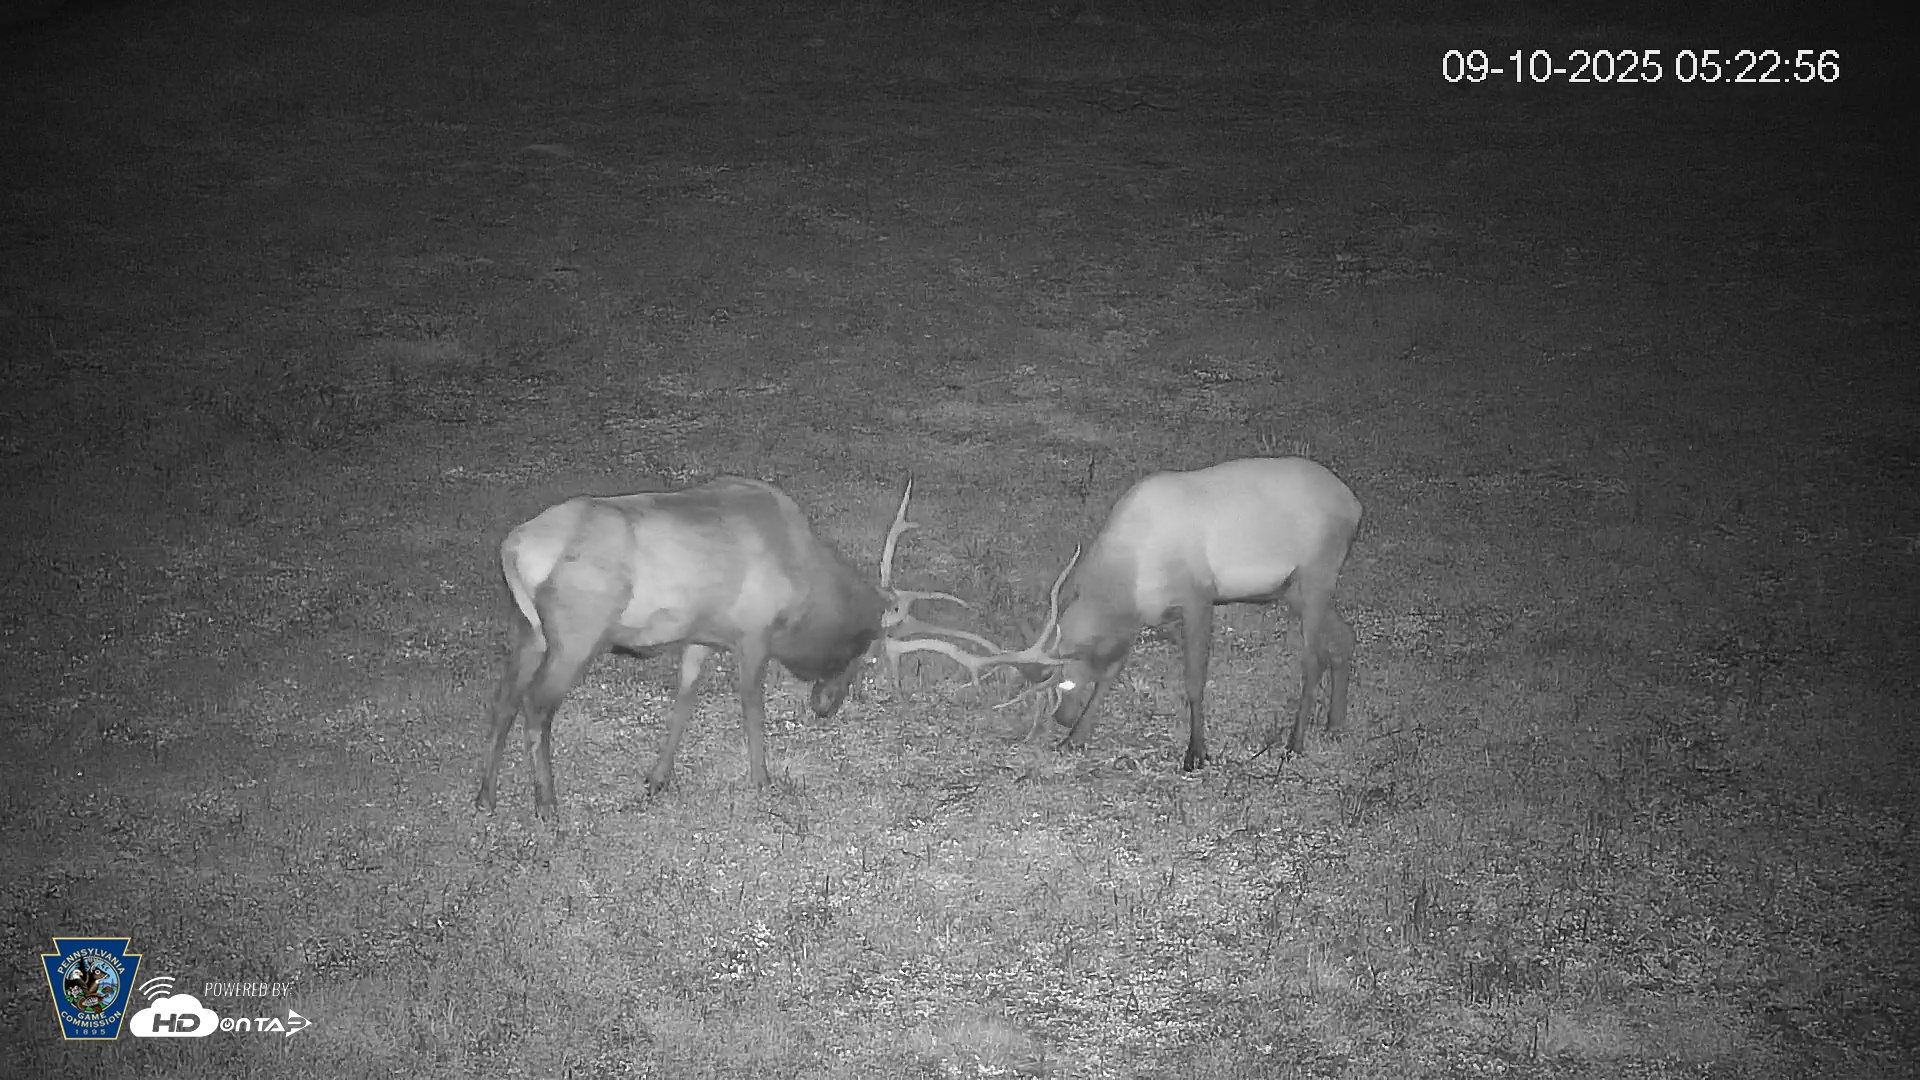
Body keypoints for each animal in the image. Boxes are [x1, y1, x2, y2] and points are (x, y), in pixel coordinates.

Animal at [474, 475, 985, 814]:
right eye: (865, 654)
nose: (825, 706)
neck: (804, 589)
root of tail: (513, 548)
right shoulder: (754, 633)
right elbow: (752, 706)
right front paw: (762, 779)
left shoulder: (700, 635)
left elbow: (684, 700)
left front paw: (657, 778)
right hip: (576, 632)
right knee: (536, 707)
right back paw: (547, 805)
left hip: (527, 629)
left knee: (503, 700)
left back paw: (484, 797)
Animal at [892, 457, 1362, 769]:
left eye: (1064, 682)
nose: (1061, 719)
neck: (1126, 581)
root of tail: (1356, 506)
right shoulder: (1142, 619)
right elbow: (1113, 671)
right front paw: (1076, 739)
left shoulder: (1199, 595)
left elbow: (1194, 678)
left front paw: (1196, 753)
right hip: (1293, 589)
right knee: (1344, 638)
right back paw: (1335, 724)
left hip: (1316, 574)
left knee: (1313, 658)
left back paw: (1295, 743)